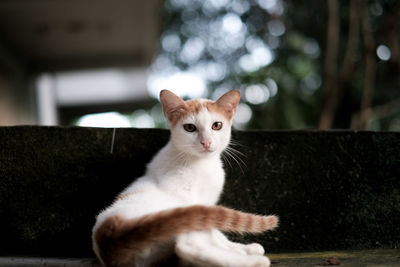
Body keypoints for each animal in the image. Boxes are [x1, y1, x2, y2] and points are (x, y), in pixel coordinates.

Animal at [91, 90, 278, 267]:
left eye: (217, 125)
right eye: (190, 128)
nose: (206, 142)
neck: (202, 165)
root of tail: (108, 234)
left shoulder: (207, 204)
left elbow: (216, 230)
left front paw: (240, 248)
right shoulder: (191, 201)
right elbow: (214, 230)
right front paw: (240, 249)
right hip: (177, 212)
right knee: (186, 246)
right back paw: (254, 262)